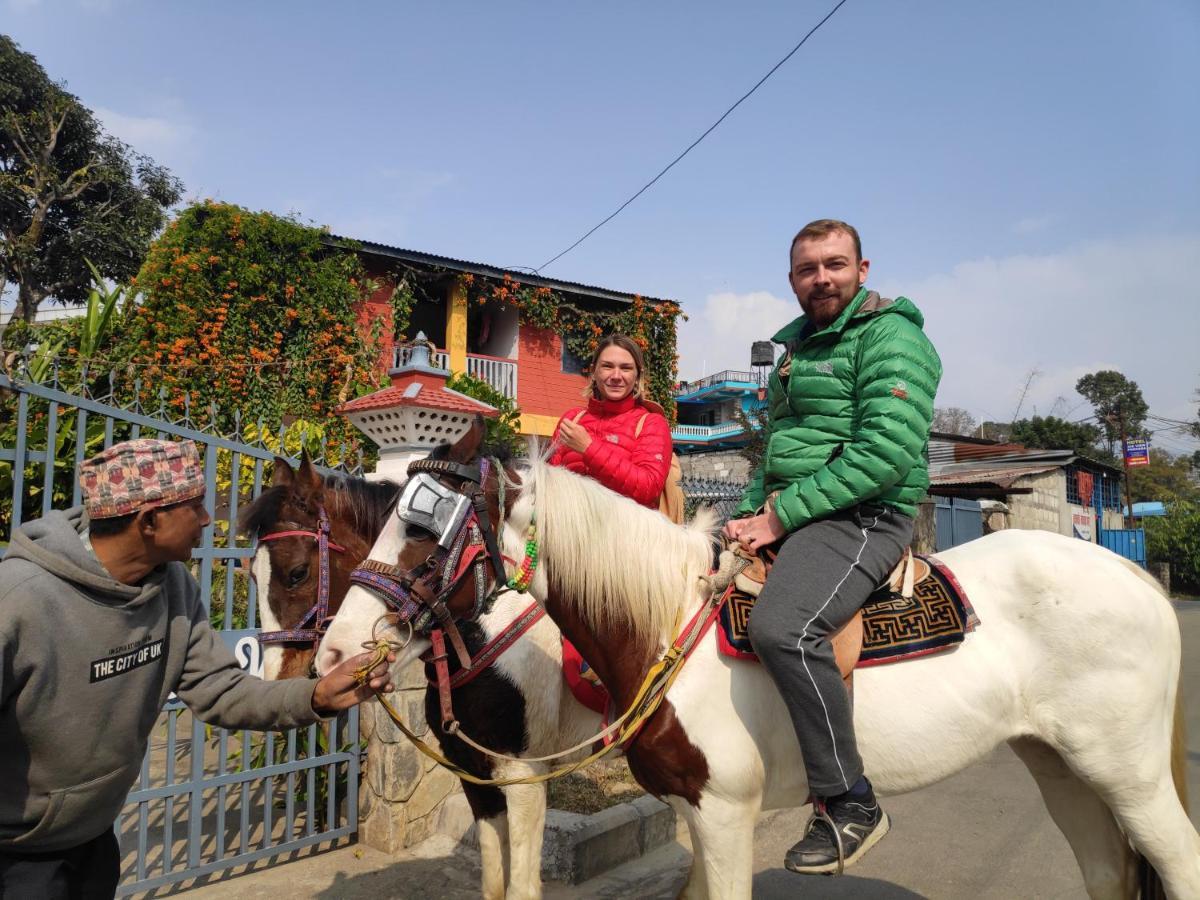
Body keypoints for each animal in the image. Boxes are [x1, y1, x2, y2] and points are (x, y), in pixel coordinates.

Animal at [314, 422, 1195, 900]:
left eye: (424, 530)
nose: (331, 654)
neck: (665, 622)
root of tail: (1134, 576)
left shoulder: (725, 810)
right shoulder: (693, 811)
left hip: (1129, 773)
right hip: (1063, 767)